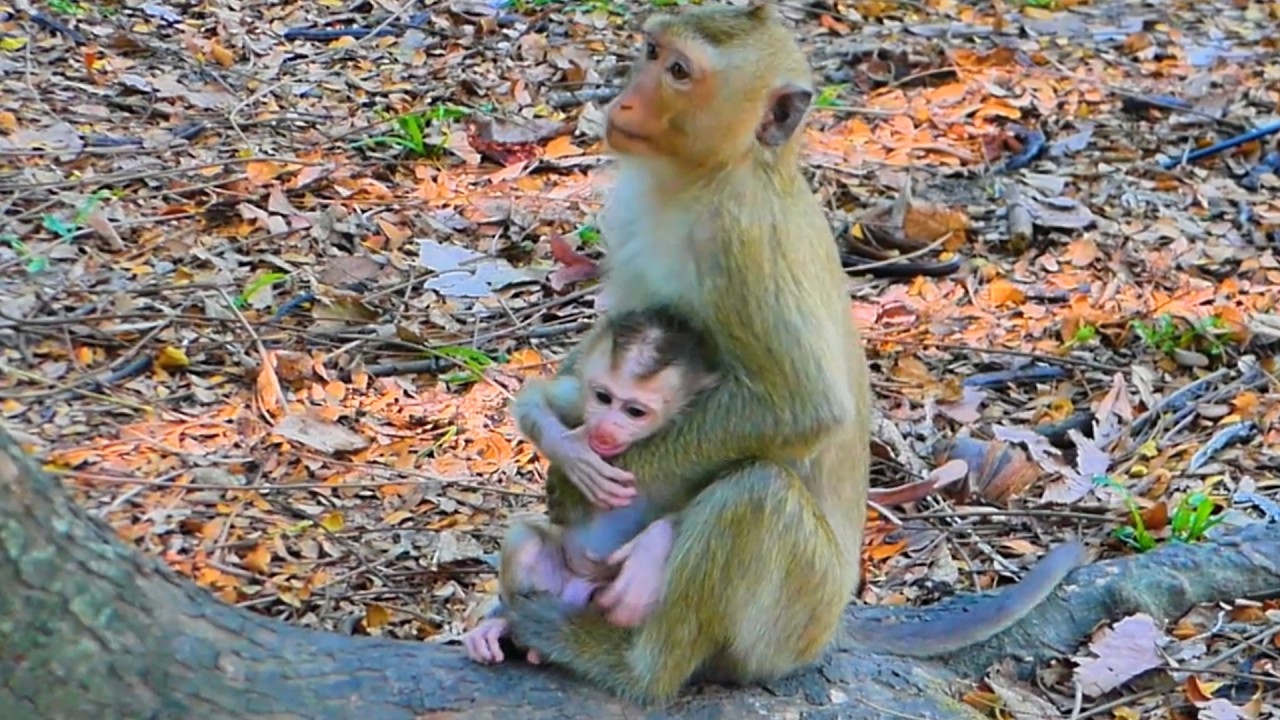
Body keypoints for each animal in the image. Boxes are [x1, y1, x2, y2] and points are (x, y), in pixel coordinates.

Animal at [495, 3, 1086, 705]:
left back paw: (631, 665)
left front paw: (589, 485)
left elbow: (804, 407)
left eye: (679, 71)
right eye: (651, 52)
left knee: (756, 494)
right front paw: (563, 445)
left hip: (791, 618)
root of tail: (833, 627)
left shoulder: (741, 241)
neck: (715, 175)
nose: (626, 101)